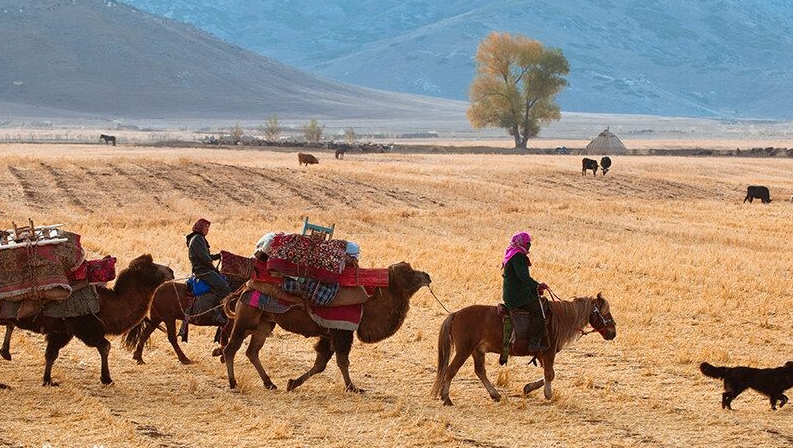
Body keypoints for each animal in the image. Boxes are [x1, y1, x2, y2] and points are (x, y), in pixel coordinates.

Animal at [0, 254, 173, 386]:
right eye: (152, 267)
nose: (171, 271)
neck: (103, 304)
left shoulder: (62, 331)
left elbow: (51, 354)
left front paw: (48, 380)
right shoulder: (84, 327)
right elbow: (105, 346)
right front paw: (107, 379)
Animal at [223, 262, 430, 392]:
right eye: (409, 272)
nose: (427, 276)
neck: (366, 305)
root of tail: (246, 285)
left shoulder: (330, 334)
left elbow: (320, 363)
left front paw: (292, 383)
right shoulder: (342, 331)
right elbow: (342, 361)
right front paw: (353, 388)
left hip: (266, 321)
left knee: (252, 350)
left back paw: (269, 383)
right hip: (247, 316)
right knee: (231, 348)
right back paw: (233, 383)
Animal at [430, 294, 616, 406]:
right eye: (605, 312)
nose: (613, 332)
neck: (557, 319)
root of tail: (455, 314)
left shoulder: (541, 354)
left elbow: (550, 374)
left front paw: (528, 388)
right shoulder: (548, 352)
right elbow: (550, 374)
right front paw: (548, 394)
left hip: (477, 350)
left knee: (480, 371)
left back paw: (495, 394)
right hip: (464, 349)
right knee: (451, 370)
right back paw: (446, 397)